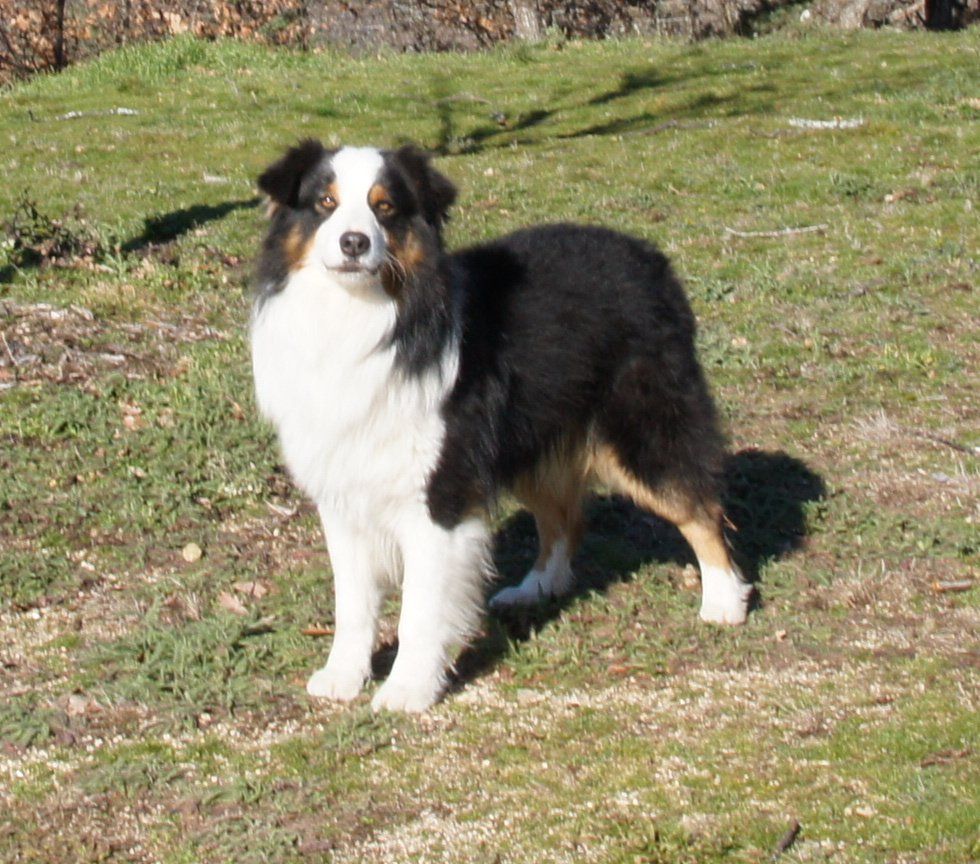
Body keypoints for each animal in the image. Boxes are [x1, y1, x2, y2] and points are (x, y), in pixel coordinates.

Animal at [251, 140, 752, 708]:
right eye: (325, 203)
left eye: (385, 207)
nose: (354, 243)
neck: (363, 318)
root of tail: (649, 256)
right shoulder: (343, 490)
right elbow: (352, 601)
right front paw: (342, 676)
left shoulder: (439, 494)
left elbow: (421, 609)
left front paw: (407, 690)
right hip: (529, 443)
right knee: (564, 517)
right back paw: (537, 587)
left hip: (643, 432)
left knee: (700, 508)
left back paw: (725, 601)